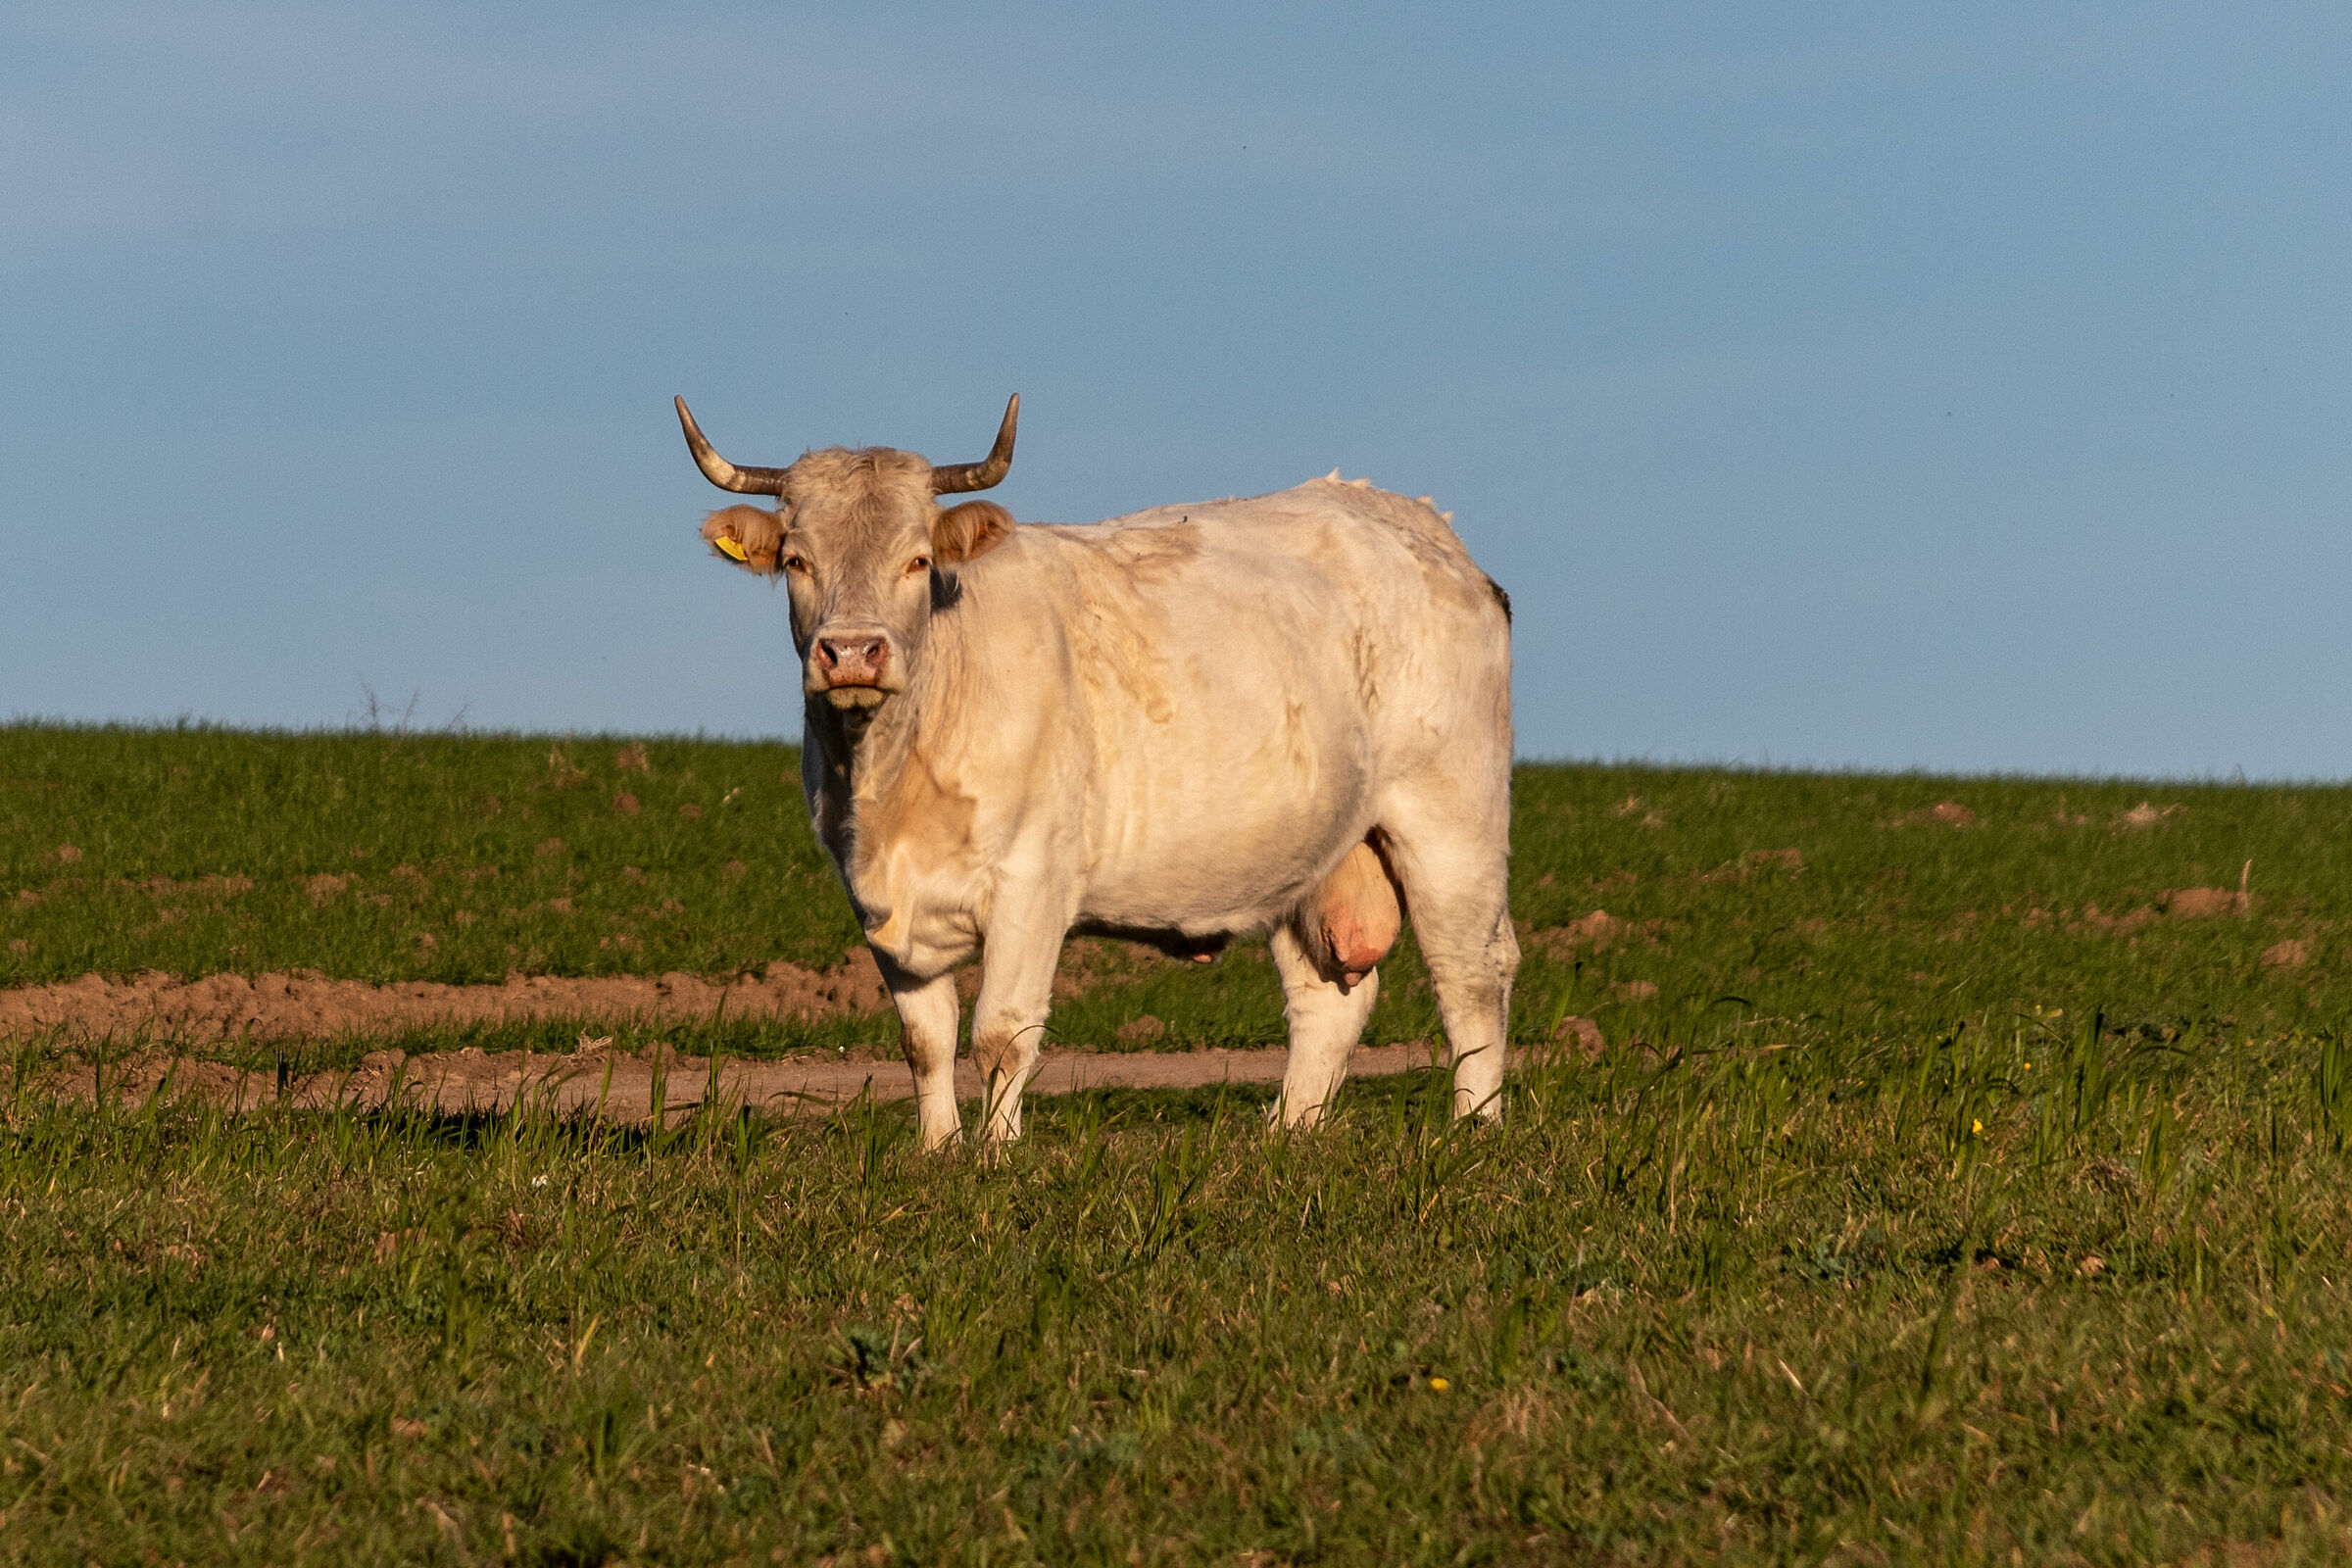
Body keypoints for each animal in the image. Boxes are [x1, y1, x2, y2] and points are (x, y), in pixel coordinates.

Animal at [676, 393, 1517, 1148]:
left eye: (917, 559)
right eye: (797, 561)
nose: (852, 652)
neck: (890, 785)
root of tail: (1412, 519)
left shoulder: (1032, 882)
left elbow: (1001, 1033)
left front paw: (996, 1154)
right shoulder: (872, 898)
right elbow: (926, 1041)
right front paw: (937, 1150)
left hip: (1452, 822)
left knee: (1470, 974)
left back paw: (1473, 1128)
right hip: (1312, 852)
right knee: (1328, 1000)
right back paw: (1285, 1134)